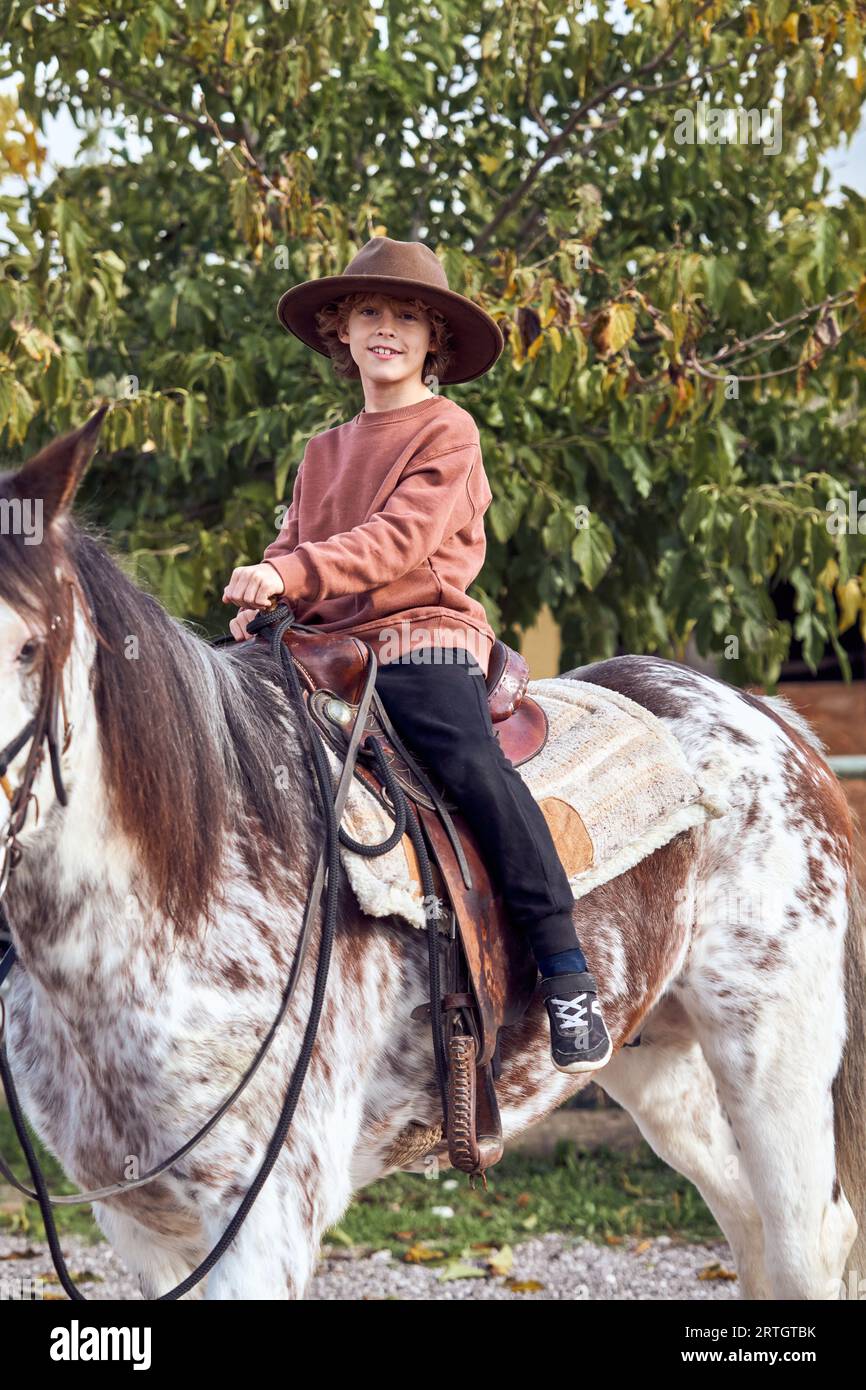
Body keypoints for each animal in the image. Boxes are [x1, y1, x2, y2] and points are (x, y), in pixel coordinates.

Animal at [0, 405, 861, 1295]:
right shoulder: (140, 1227)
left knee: (808, 1239)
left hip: (775, 1068)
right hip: (660, 1063)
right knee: (749, 1226)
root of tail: (764, 715)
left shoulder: (263, 1222)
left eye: (30, 646)